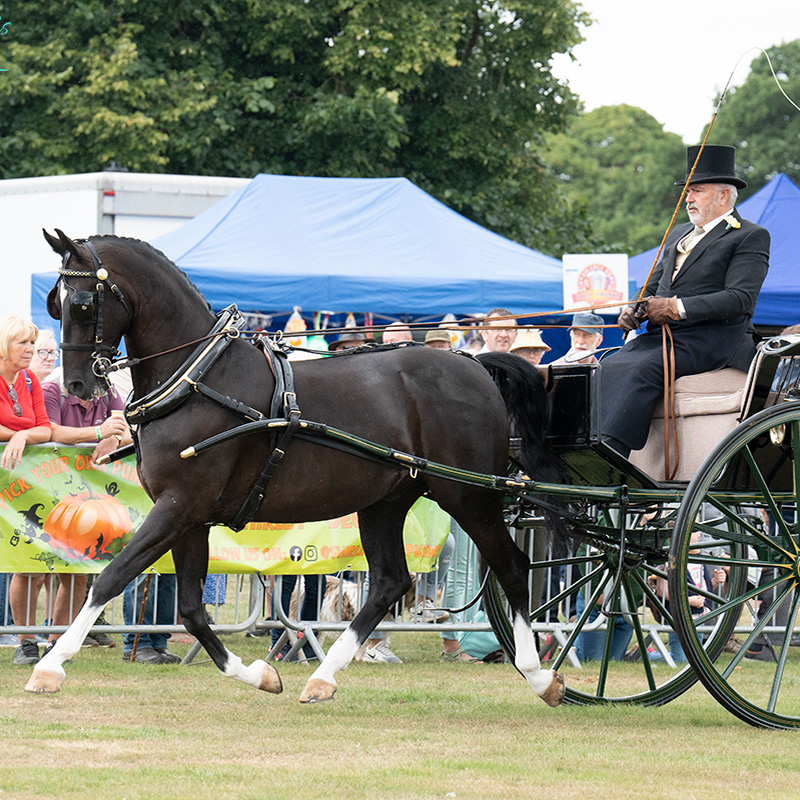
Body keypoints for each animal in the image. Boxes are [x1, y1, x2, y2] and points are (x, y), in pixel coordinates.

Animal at [28, 227, 564, 708]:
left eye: (81, 303)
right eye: (54, 302)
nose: (78, 385)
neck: (197, 377)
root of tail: (474, 366)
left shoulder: (180, 507)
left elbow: (111, 577)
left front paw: (50, 666)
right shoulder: (187, 515)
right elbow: (191, 610)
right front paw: (259, 674)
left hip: (469, 496)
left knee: (512, 566)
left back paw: (540, 676)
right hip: (386, 502)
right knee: (390, 581)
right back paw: (323, 677)